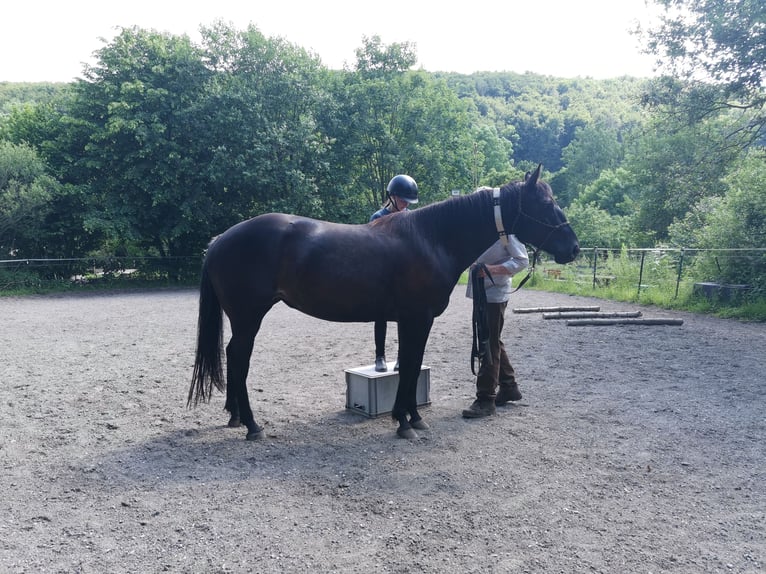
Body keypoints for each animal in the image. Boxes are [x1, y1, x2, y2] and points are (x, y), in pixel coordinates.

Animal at [189, 164, 580, 444]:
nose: (574, 248)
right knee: (238, 358)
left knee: (232, 356)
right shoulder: (415, 319)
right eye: (546, 204)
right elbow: (408, 366)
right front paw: (404, 421)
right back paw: (251, 425)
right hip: (248, 317)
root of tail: (221, 239)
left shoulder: (414, 321)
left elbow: (412, 364)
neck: (432, 239)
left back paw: (234, 415)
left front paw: (413, 418)